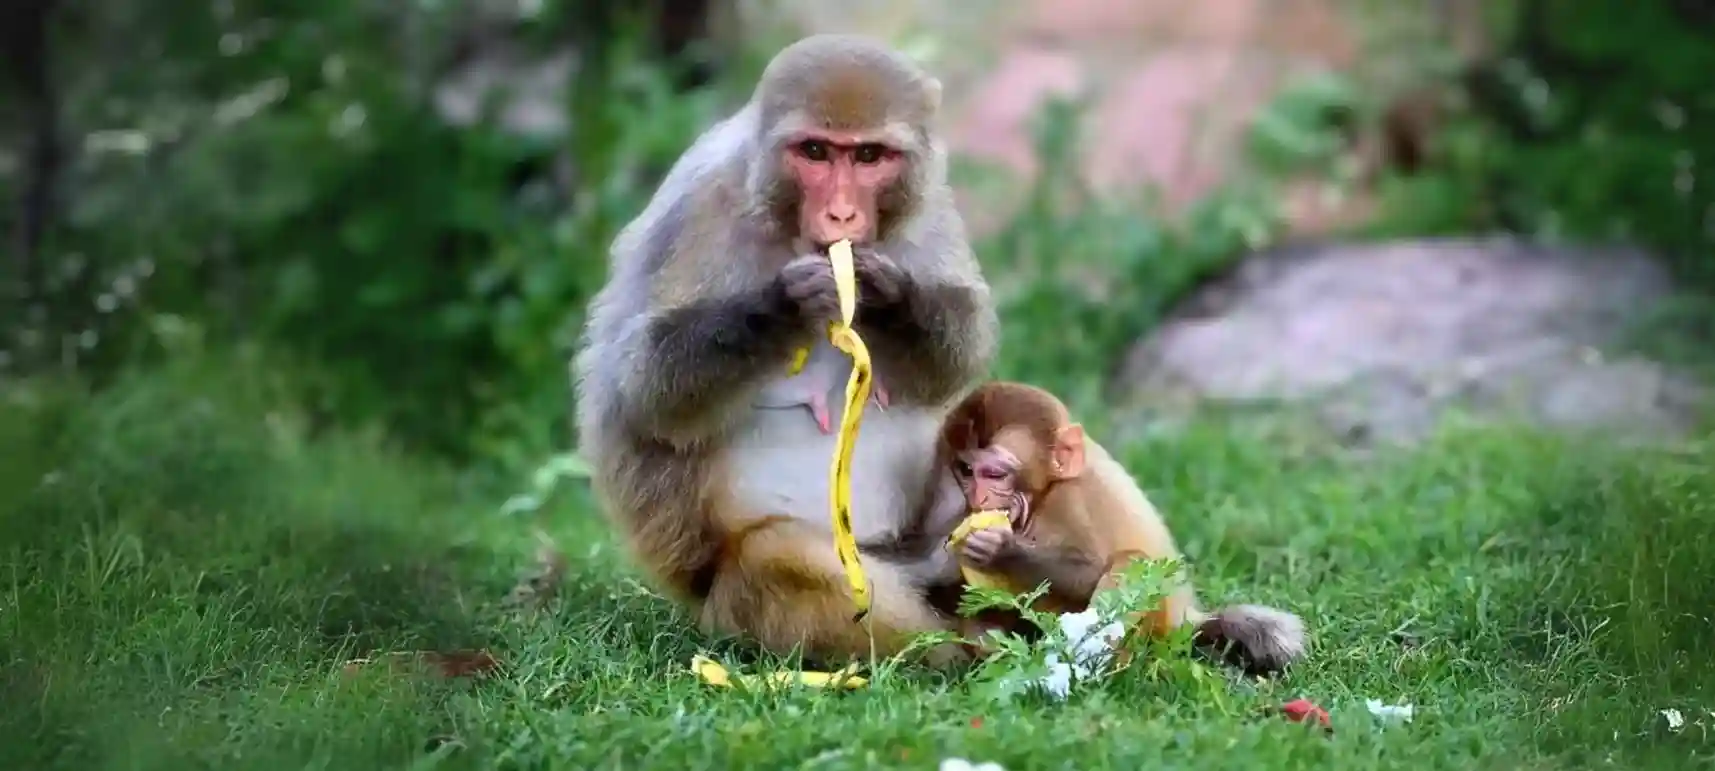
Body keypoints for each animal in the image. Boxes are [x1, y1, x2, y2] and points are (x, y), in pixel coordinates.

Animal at [572, 33, 1001, 664]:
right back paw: (950, 653)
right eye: (816, 151)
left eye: (869, 156)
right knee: (781, 560)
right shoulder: (702, 206)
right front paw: (785, 307)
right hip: (741, 597)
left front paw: (888, 297)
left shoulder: (928, 203)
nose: (842, 213)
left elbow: (961, 347)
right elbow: (641, 385)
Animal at [932, 382, 1303, 678]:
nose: (978, 497)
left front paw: (999, 550)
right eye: (966, 470)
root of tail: (1185, 621)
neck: (1046, 491)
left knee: (1131, 561)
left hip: (1157, 620)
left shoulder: (1071, 499)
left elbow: (1087, 571)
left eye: (995, 474)